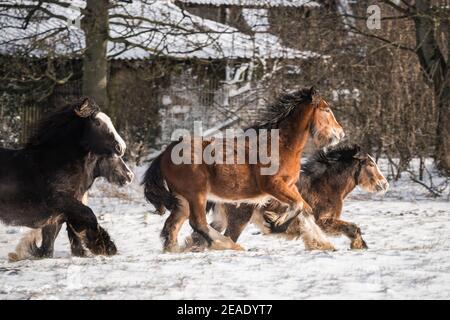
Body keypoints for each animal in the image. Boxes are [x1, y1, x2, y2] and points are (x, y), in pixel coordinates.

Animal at [0, 97, 126, 258]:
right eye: (97, 123)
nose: (121, 147)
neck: (56, 162)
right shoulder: (61, 201)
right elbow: (88, 215)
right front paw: (104, 246)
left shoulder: (57, 216)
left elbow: (49, 246)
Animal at [144, 87, 344, 252]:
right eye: (326, 110)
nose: (340, 133)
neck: (279, 145)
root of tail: (164, 153)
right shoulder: (273, 186)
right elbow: (298, 206)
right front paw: (275, 223)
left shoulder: (290, 186)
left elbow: (306, 210)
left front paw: (323, 244)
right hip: (196, 195)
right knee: (198, 223)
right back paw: (228, 245)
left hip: (183, 200)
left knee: (172, 225)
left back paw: (175, 250)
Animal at [202, 145, 388, 250]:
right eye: (371, 164)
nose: (385, 184)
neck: (325, 185)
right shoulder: (323, 220)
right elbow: (352, 227)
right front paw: (358, 245)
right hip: (239, 219)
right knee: (227, 238)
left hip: (221, 219)